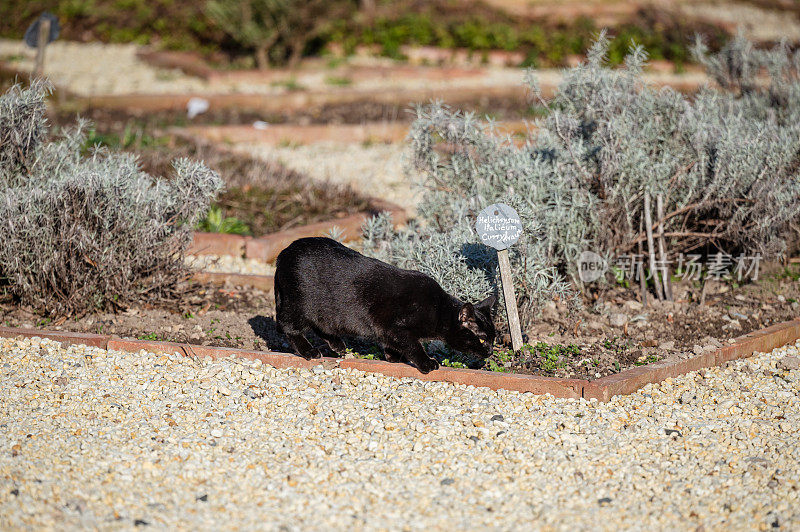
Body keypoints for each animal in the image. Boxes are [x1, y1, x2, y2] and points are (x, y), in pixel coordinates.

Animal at [276, 238, 500, 374]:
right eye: (482, 340)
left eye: (493, 339)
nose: (490, 351)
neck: (438, 309)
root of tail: (284, 253)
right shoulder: (393, 326)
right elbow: (413, 345)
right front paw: (426, 362)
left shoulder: (386, 330)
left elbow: (391, 343)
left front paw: (393, 357)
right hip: (299, 306)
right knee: (289, 328)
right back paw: (309, 351)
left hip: (324, 313)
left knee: (319, 326)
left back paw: (337, 345)